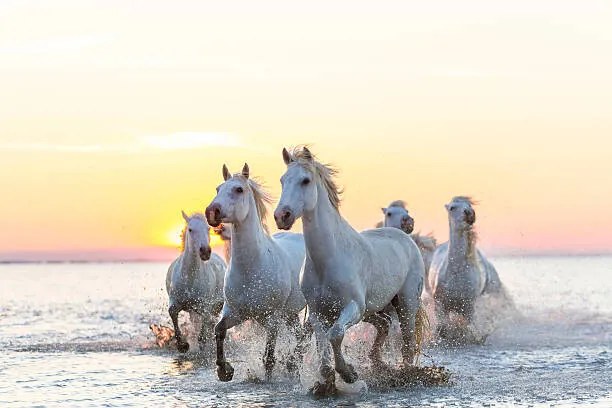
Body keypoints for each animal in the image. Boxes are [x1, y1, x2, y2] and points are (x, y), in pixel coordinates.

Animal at [166, 212, 226, 352]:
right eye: (190, 229)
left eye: (208, 229)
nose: (205, 251)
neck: (190, 278)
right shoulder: (175, 302)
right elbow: (172, 312)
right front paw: (182, 345)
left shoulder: (205, 305)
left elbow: (204, 327)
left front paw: (203, 343)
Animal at [206, 163, 308, 382]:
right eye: (218, 189)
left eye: (239, 189)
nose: (211, 212)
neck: (251, 270)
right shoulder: (236, 312)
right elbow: (219, 330)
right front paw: (224, 370)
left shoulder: (272, 320)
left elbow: (269, 358)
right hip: (290, 314)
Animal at [274, 147, 426, 392]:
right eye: (282, 180)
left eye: (305, 180)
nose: (282, 216)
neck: (327, 261)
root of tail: (406, 239)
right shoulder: (317, 313)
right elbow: (323, 341)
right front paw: (326, 381)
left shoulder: (353, 306)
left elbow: (336, 334)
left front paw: (349, 374)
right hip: (373, 310)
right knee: (384, 325)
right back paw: (378, 364)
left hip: (406, 303)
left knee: (408, 341)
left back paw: (405, 374)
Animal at [430, 198, 502, 342]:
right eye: (452, 207)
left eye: (469, 205)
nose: (469, 213)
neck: (457, 273)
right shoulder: (440, 304)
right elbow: (443, 328)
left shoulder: (468, 307)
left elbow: (469, 328)